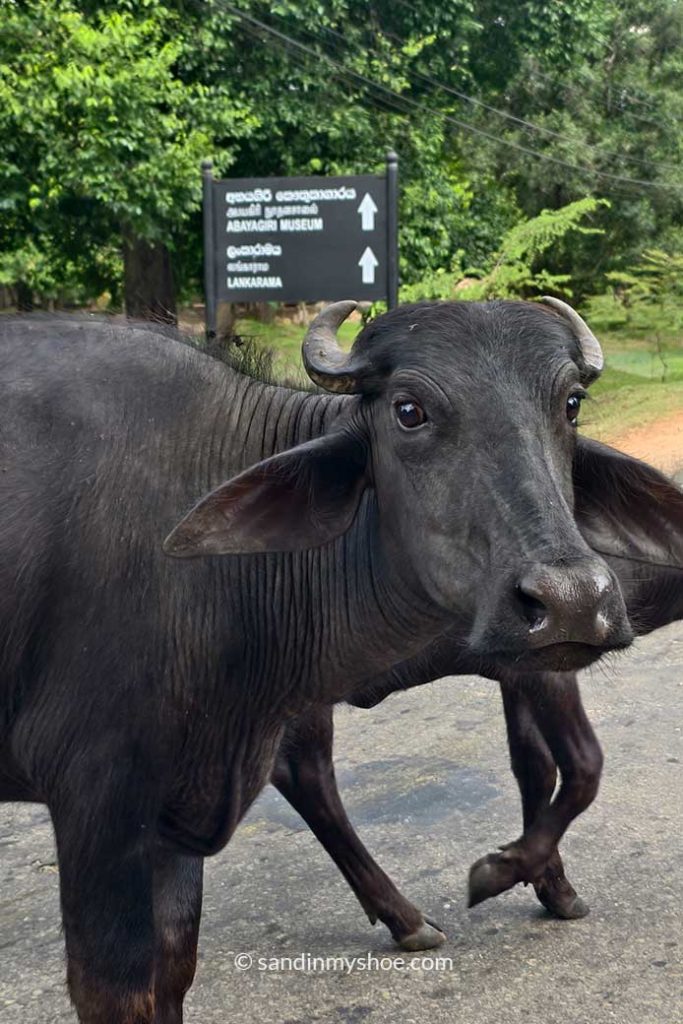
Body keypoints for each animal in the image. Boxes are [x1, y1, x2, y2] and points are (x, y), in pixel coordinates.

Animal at [0, 298, 661, 1022]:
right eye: (408, 410)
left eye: (570, 403)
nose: (573, 601)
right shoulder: (98, 800)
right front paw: (521, 875)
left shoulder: (176, 814)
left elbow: (170, 972)